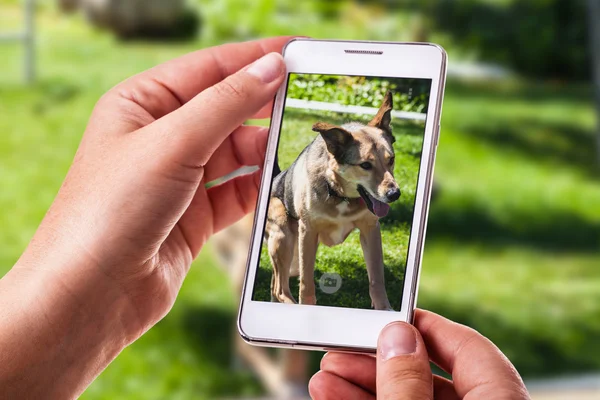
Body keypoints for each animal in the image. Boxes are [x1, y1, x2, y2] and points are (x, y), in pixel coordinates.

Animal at [266, 91, 400, 310]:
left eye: (392, 160)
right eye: (365, 165)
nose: (394, 194)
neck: (339, 193)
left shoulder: (370, 229)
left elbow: (377, 278)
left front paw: (384, 308)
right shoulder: (308, 232)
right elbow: (307, 283)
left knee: (274, 286)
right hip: (284, 235)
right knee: (280, 289)